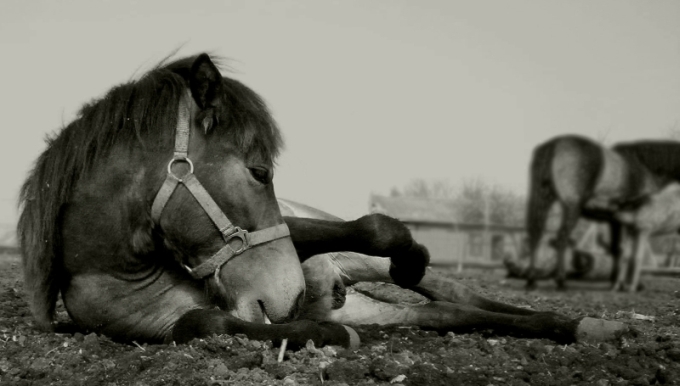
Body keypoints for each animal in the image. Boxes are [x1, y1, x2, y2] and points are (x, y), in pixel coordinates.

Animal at [18, 55, 628, 350]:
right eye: (260, 170)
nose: (292, 297)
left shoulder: (303, 232)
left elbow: (377, 226)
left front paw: (409, 255)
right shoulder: (159, 325)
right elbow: (205, 323)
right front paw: (327, 335)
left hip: (366, 271)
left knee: (456, 293)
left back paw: (579, 321)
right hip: (379, 305)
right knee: (450, 313)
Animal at [524, 134, 680, 292]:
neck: (644, 166)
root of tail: (554, 146)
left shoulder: (617, 221)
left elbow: (617, 249)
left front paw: (616, 282)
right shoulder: (629, 223)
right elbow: (625, 251)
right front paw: (626, 284)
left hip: (543, 199)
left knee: (536, 234)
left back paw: (532, 280)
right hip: (572, 207)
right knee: (562, 238)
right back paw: (560, 281)